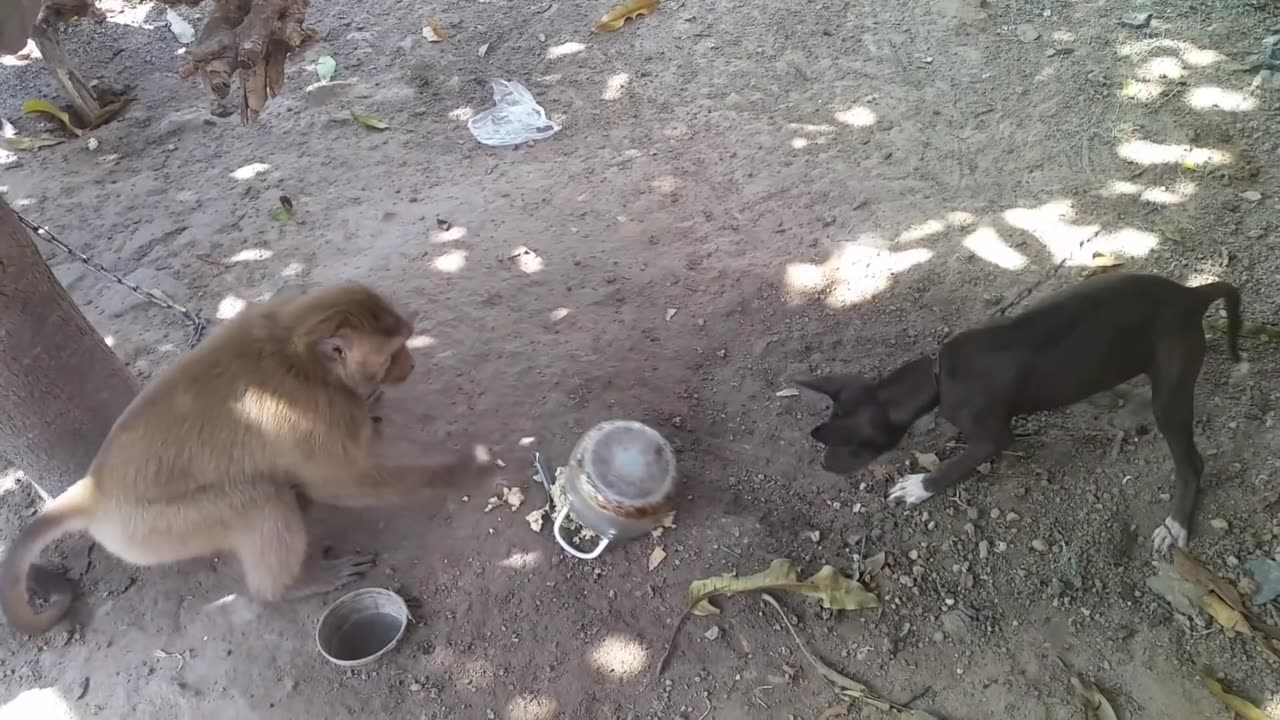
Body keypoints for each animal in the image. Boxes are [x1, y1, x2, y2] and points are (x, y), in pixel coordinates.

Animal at [2, 283, 496, 630]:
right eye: (394, 352)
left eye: (406, 344)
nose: (411, 364)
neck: (300, 351)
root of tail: (95, 490)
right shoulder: (313, 414)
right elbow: (341, 483)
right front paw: (463, 472)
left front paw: (372, 403)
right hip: (153, 530)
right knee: (261, 501)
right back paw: (287, 587)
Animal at [793, 271, 1244, 550]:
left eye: (849, 448)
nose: (825, 466)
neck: (938, 375)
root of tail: (1192, 295)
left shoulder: (992, 438)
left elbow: (954, 467)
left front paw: (920, 486)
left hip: (1170, 394)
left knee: (1191, 464)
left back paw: (1177, 523)